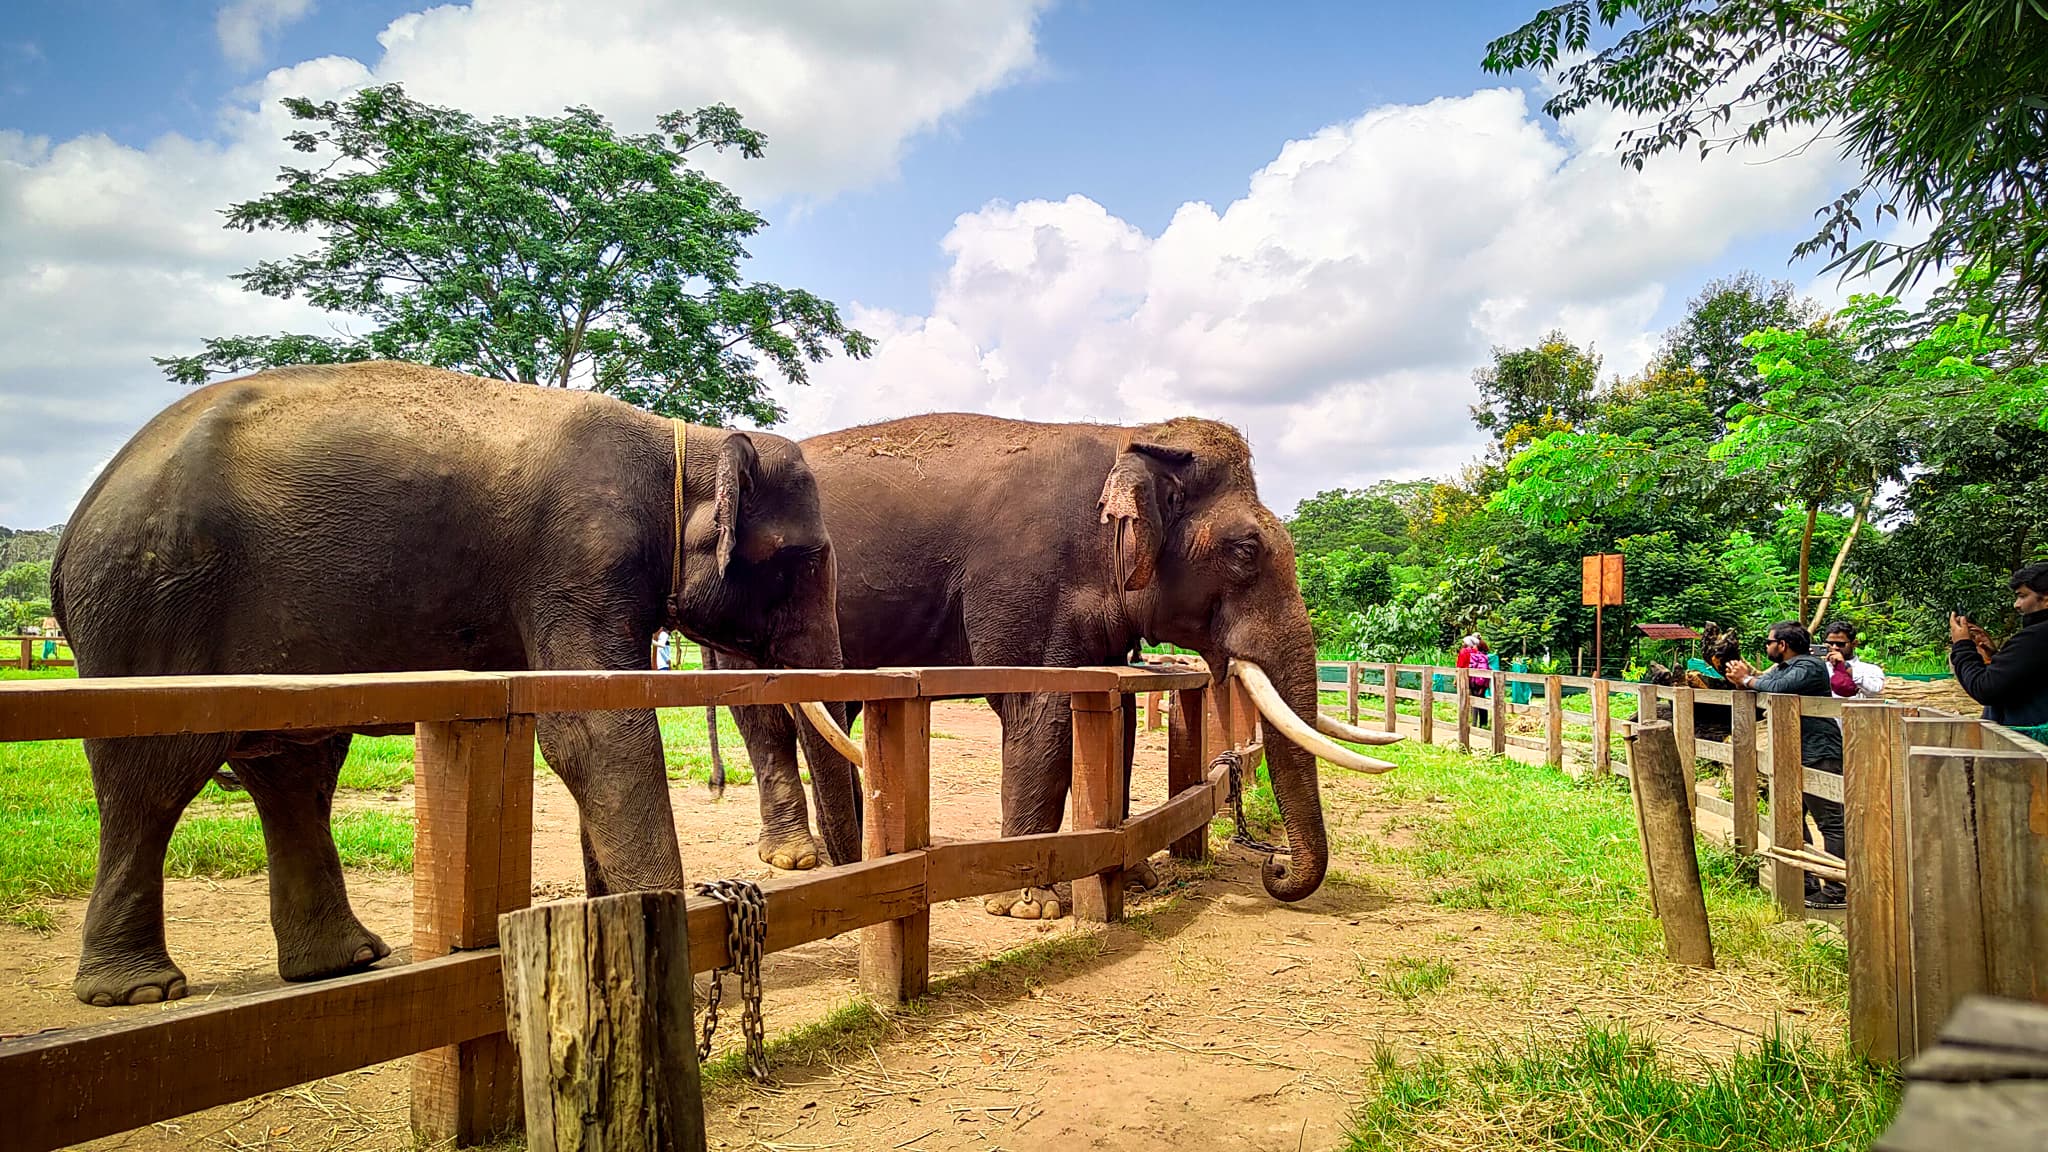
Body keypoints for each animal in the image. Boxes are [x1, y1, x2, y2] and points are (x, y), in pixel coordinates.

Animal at [49, 362, 847, 1000]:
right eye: (807, 558)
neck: (680, 440)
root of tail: (77, 520)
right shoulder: (579, 556)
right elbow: (592, 729)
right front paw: (663, 932)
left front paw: (609, 918)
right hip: (152, 610)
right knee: (152, 778)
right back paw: (139, 992)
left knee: (295, 770)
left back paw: (343, 962)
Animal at [712, 414, 1400, 914]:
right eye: (1245, 549)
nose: (1272, 864)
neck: (1132, 438)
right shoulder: (1025, 576)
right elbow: (1039, 705)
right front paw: (1029, 907)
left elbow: (1116, 706)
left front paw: (1137, 875)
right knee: (761, 712)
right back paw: (798, 860)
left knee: (837, 711)